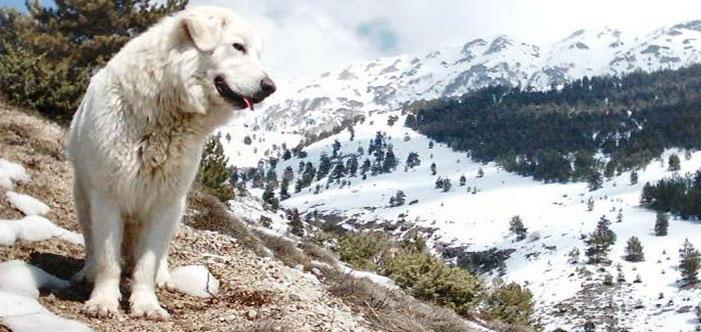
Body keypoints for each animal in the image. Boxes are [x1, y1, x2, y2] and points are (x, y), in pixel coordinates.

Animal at [66, 5, 274, 320]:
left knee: (160, 251)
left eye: (257, 54)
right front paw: (103, 301)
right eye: (238, 47)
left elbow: (147, 263)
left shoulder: (163, 202)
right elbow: (108, 259)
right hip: (83, 197)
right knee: (92, 243)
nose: (270, 87)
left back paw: (163, 278)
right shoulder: (108, 196)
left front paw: (146, 304)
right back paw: (87, 272)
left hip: (176, 209)